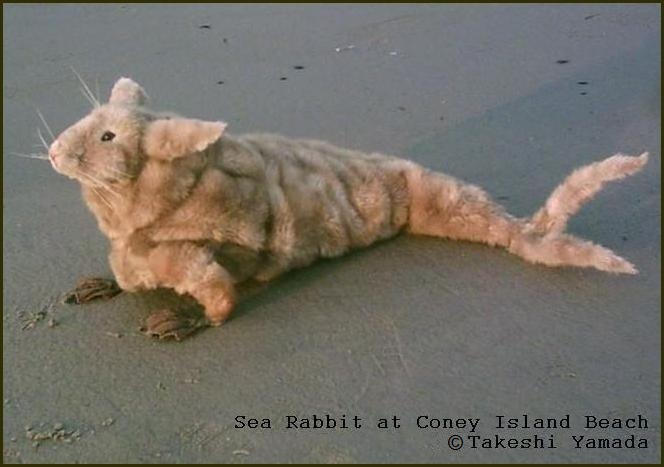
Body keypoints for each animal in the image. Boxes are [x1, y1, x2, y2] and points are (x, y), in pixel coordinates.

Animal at [44, 76, 648, 340]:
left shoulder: (204, 253)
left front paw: (180, 318)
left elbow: (219, 298)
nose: (52, 151)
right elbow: (127, 271)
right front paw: (102, 284)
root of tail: (527, 228)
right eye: (92, 120)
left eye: (107, 136)